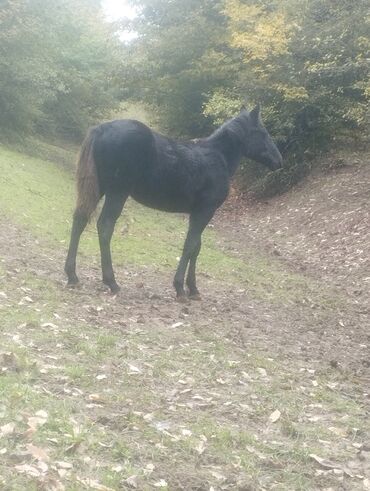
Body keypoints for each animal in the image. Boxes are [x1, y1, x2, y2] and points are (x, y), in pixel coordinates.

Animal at [65, 106, 282, 300]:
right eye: (262, 133)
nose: (279, 161)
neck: (217, 158)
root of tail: (101, 128)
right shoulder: (205, 211)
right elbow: (190, 245)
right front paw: (180, 289)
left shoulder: (198, 212)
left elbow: (197, 247)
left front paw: (193, 289)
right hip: (117, 192)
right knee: (105, 226)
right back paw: (112, 282)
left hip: (100, 189)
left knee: (80, 219)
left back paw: (72, 275)